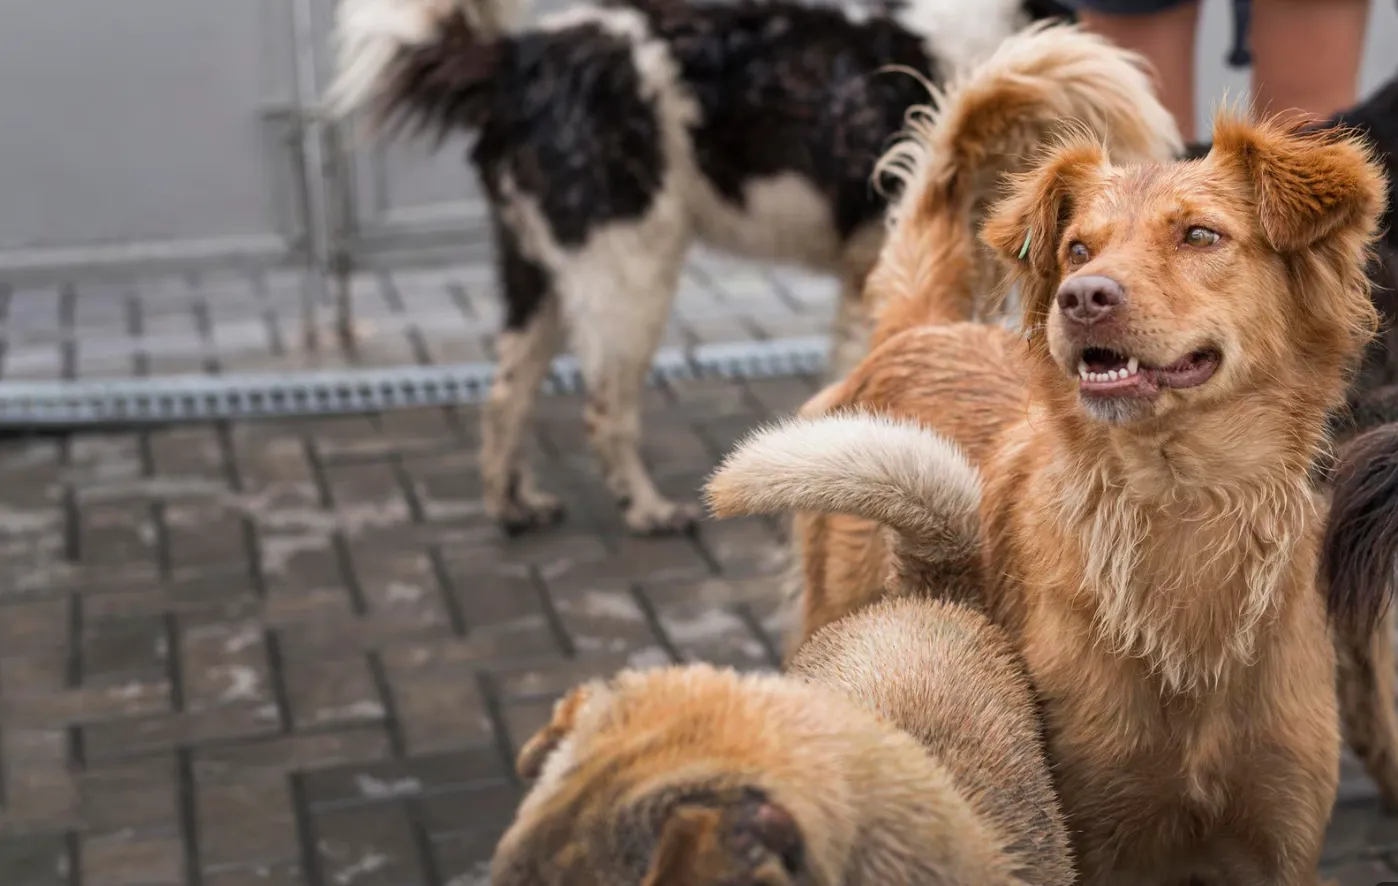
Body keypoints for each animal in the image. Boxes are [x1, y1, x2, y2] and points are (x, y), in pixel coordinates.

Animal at [329, 0, 1079, 531]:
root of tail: (520, 60)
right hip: (629, 272)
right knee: (604, 408)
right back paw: (646, 510)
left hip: (538, 274)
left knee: (505, 395)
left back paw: (512, 506)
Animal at [738, 113, 1392, 877]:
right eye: (1079, 248)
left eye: (1201, 235)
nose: (1081, 296)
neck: (1181, 504)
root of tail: (922, 327)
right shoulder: (1083, 830)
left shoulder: (1277, 841)